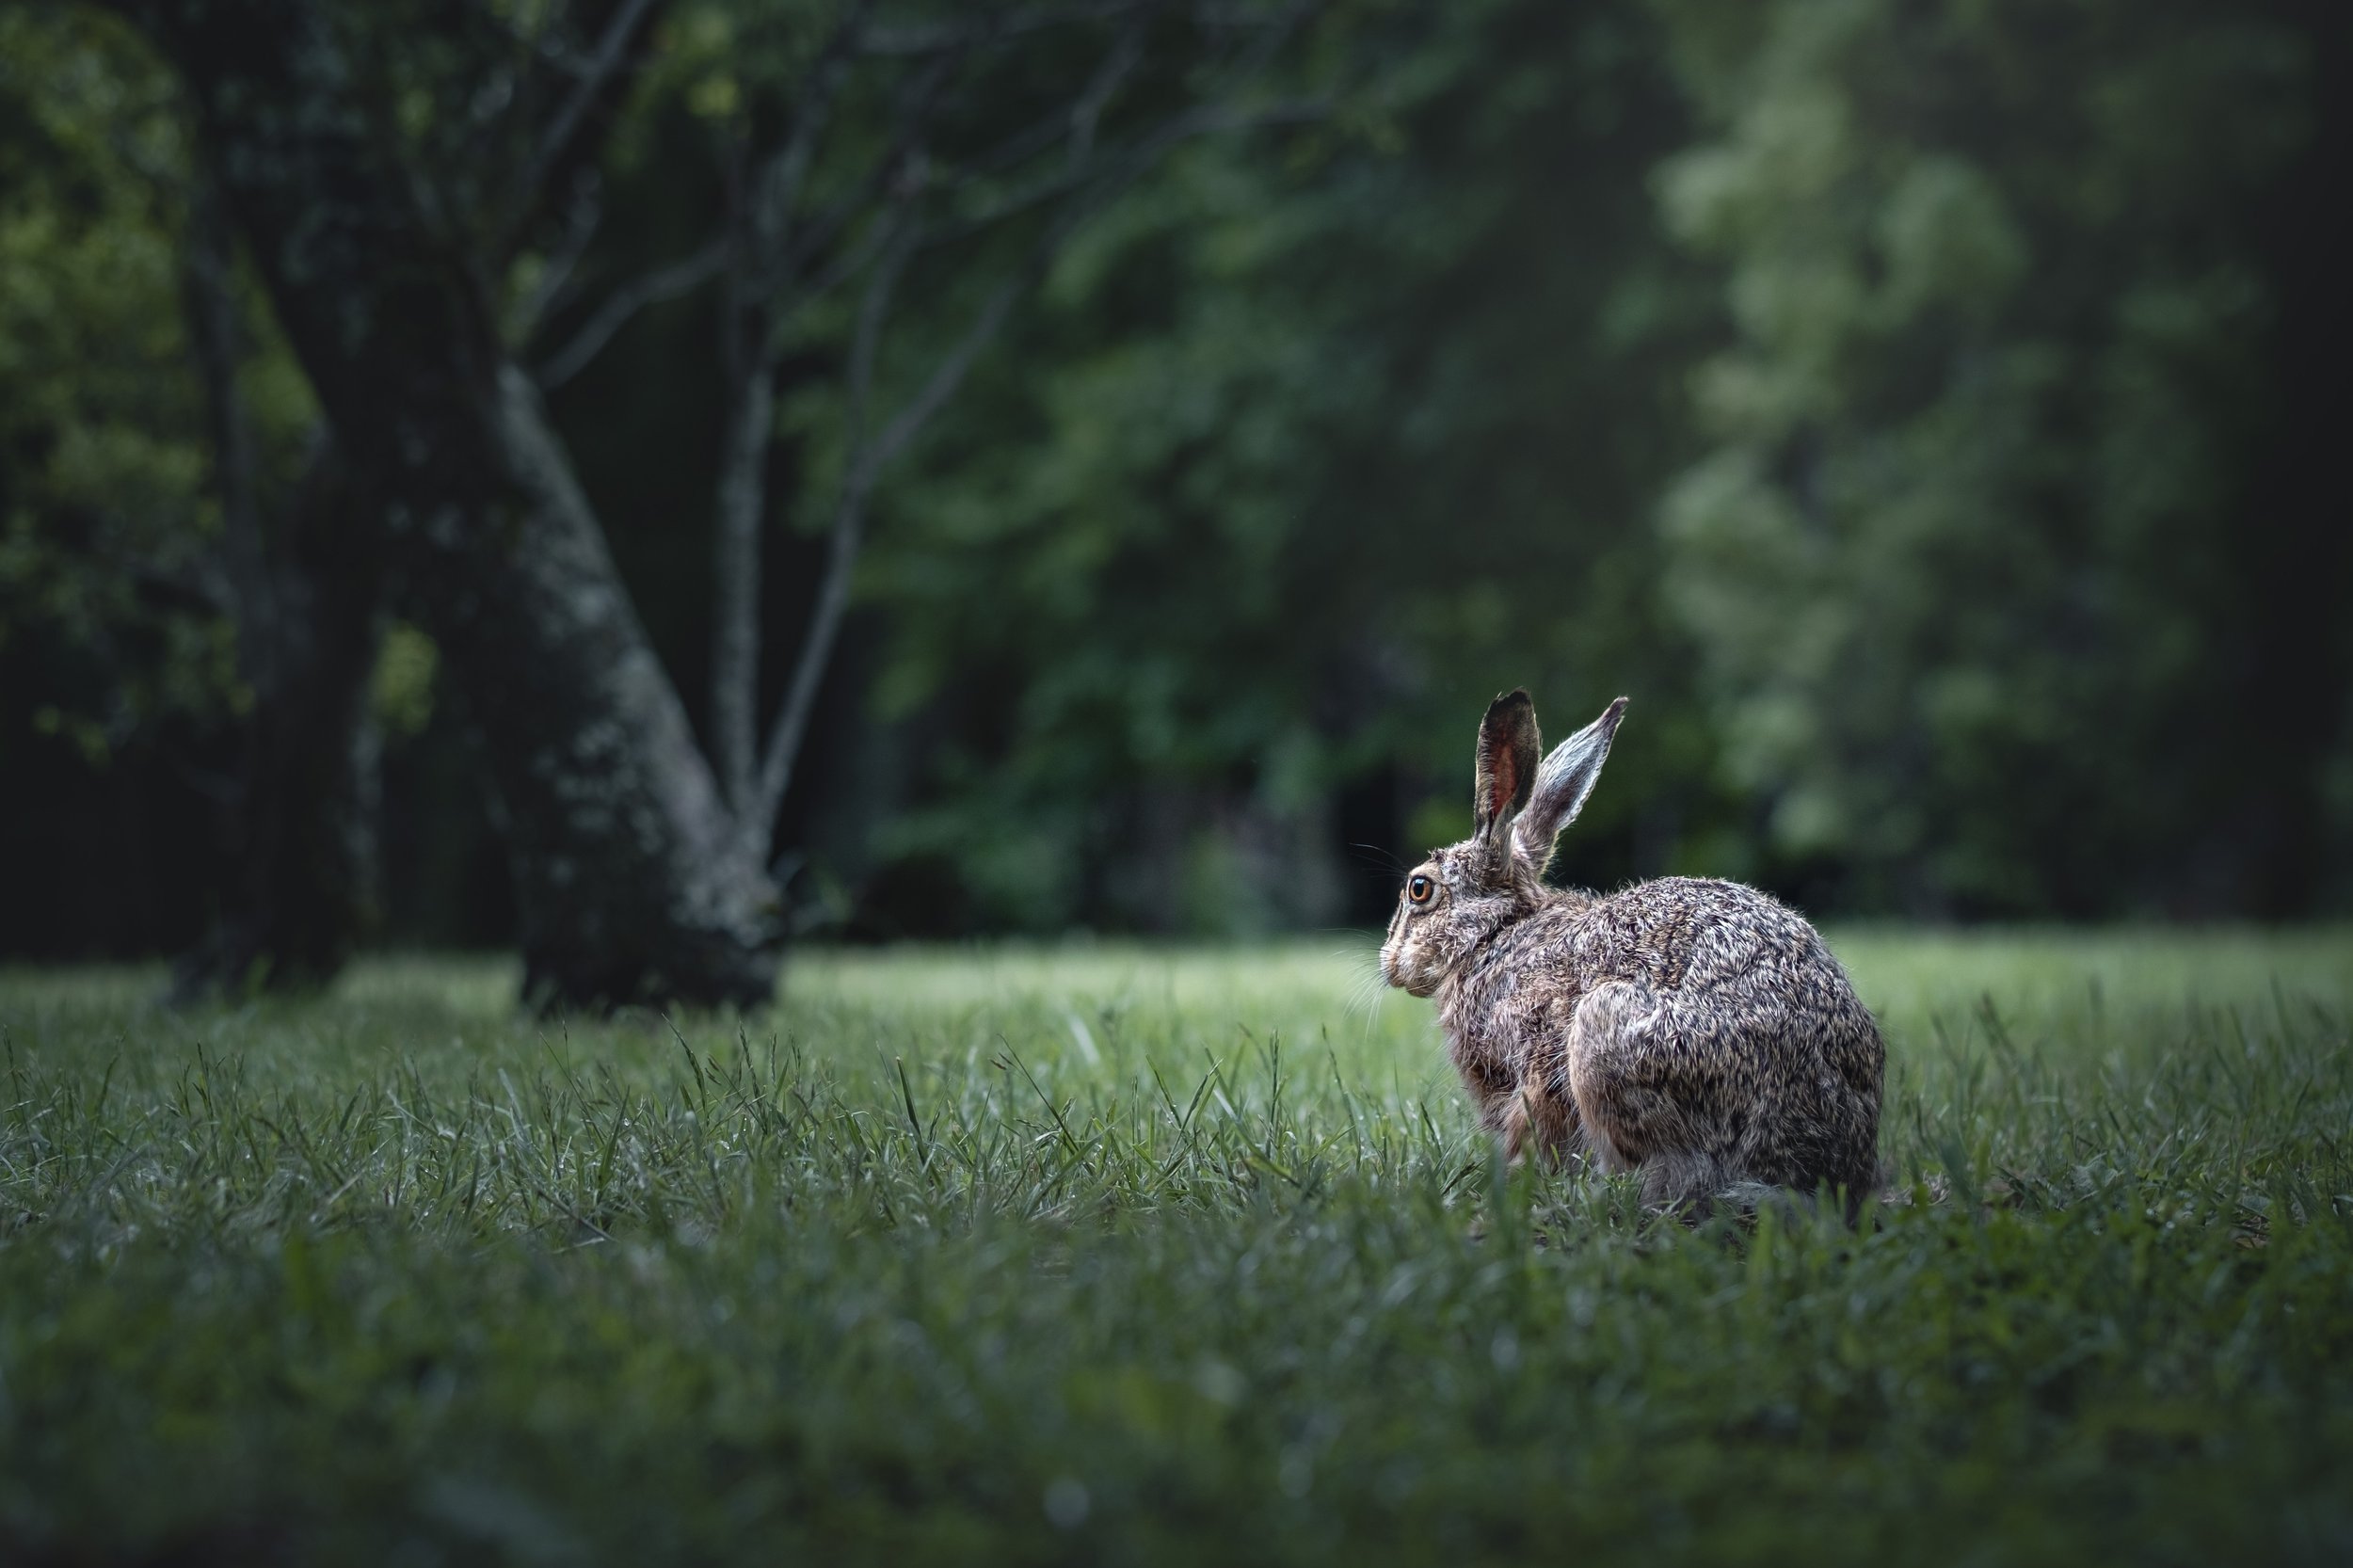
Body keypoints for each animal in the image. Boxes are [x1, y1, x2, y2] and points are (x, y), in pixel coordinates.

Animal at [1381, 689, 1884, 1215]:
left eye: (1419, 889)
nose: (1389, 964)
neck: (1496, 933)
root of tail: (1836, 1168)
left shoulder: (1535, 1059)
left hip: (1607, 1035)